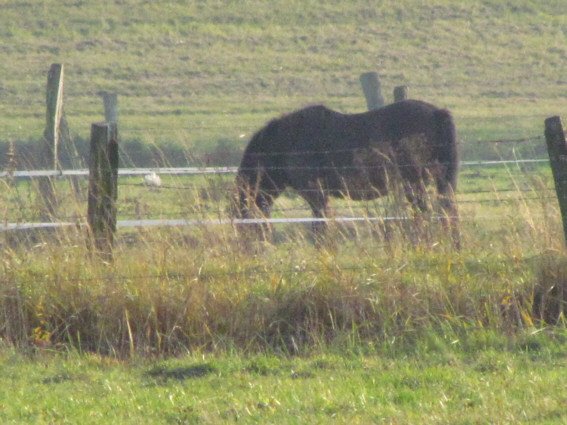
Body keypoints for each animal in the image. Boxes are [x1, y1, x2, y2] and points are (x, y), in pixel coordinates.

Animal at [235, 99, 462, 245]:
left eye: (244, 224)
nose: (251, 250)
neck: (288, 142)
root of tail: (437, 113)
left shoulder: (316, 195)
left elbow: (319, 227)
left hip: (414, 183)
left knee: (427, 214)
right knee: (444, 213)